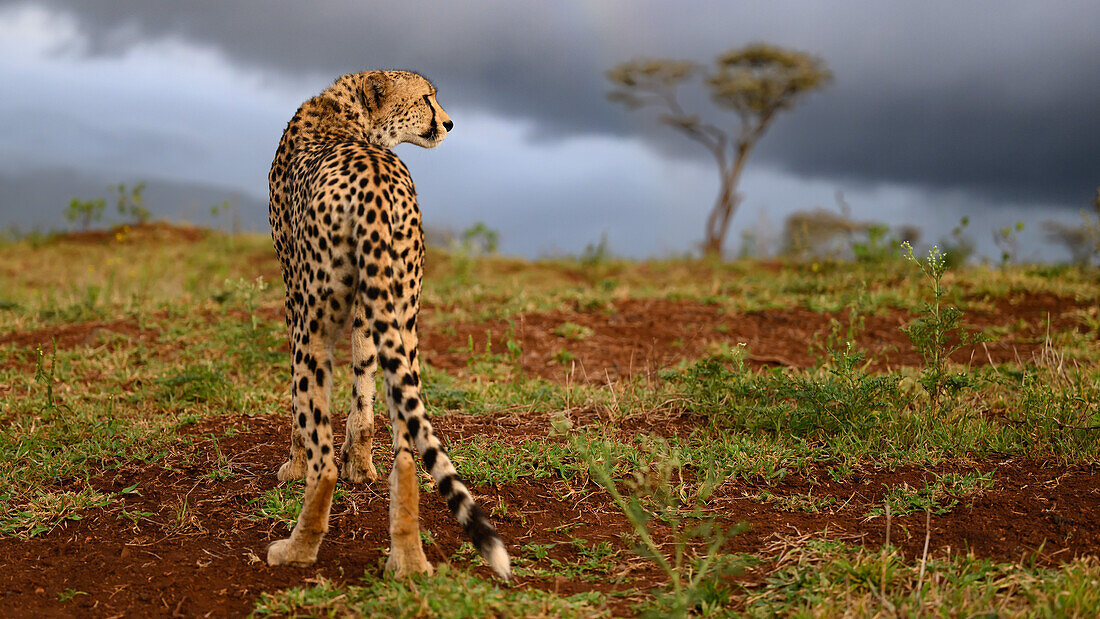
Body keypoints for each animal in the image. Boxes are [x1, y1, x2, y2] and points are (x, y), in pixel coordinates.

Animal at [266, 70, 510, 580]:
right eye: (426, 98)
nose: (449, 122)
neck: (351, 115)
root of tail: (376, 182)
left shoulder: (293, 294)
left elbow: (299, 407)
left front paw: (293, 466)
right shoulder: (369, 310)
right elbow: (364, 395)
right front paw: (361, 467)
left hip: (314, 323)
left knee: (322, 458)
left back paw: (297, 548)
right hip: (405, 317)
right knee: (408, 452)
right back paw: (409, 560)